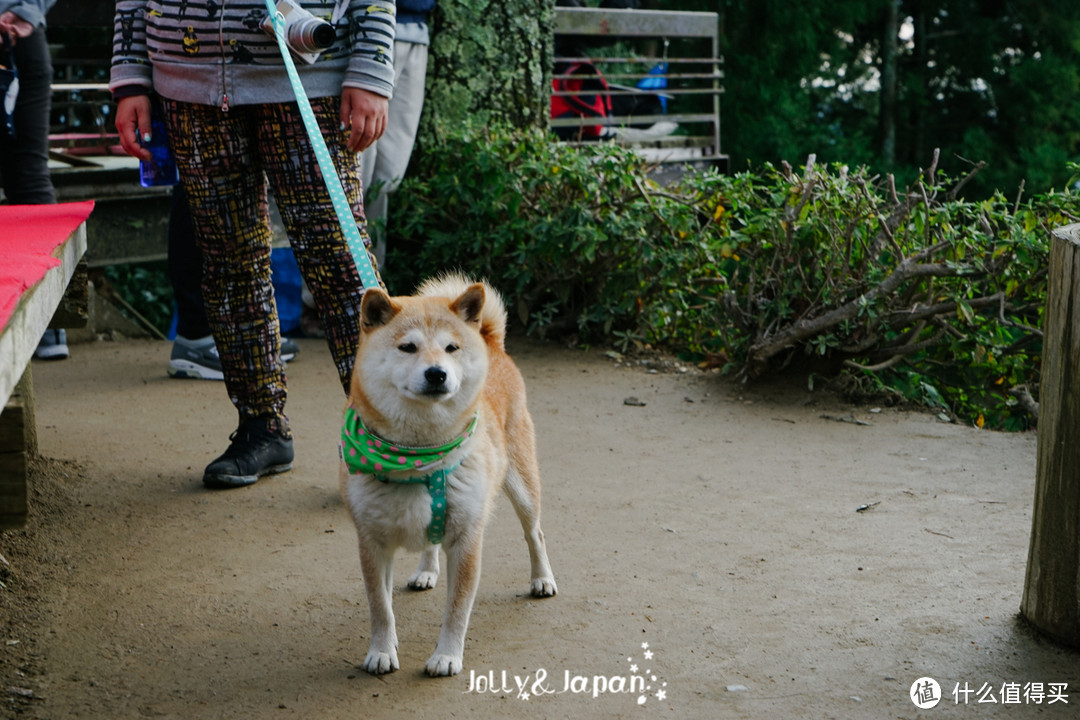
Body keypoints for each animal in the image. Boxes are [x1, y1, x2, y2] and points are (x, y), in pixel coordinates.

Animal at [336, 274, 557, 677]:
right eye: (408, 347)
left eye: (451, 348)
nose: (436, 373)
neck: (417, 457)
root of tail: (491, 343)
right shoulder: (371, 542)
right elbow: (380, 606)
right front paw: (381, 650)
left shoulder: (467, 539)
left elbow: (456, 610)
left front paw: (447, 656)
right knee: (430, 540)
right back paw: (427, 571)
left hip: (522, 484)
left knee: (535, 533)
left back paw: (542, 578)